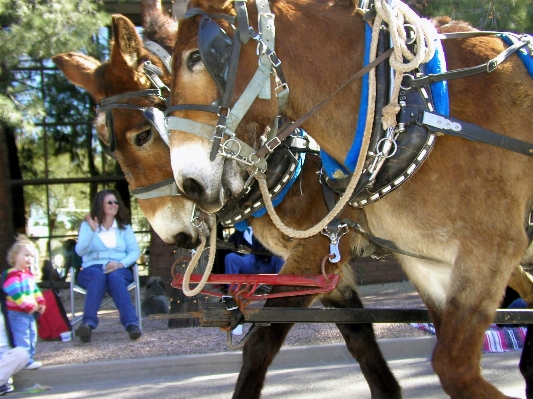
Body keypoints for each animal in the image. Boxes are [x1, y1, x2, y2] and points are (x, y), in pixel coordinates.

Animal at [167, 0, 533, 399]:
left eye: (196, 56)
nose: (188, 184)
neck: (411, 108)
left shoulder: (490, 249)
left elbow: (454, 367)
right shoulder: (425, 264)